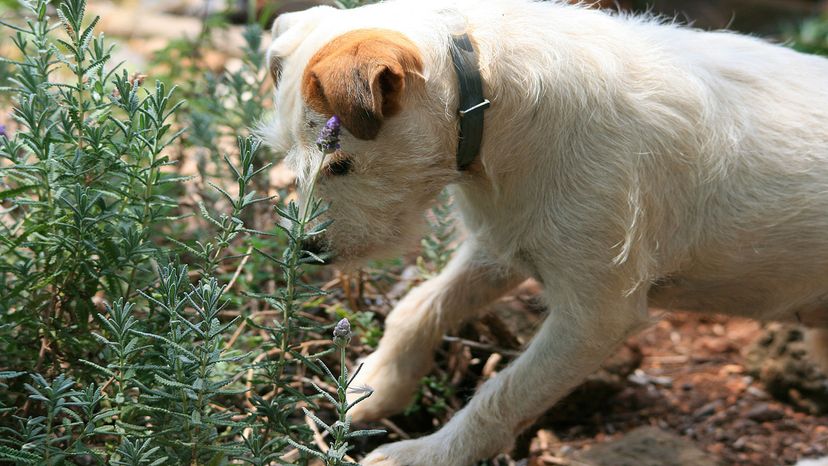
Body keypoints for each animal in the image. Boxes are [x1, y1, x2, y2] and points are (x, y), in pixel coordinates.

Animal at [262, 1, 828, 464]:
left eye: (339, 163)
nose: (307, 252)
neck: (489, 100)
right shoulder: (501, 247)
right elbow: (417, 309)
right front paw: (375, 387)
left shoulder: (594, 318)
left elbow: (502, 393)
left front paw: (425, 455)